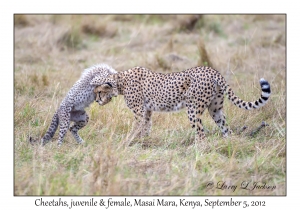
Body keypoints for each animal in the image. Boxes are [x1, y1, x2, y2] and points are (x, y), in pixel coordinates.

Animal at [90, 66, 270, 144]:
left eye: (98, 92)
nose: (97, 101)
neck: (120, 81)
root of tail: (211, 70)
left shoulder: (139, 112)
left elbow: (136, 127)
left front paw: (128, 141)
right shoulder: (147, 111)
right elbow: (146, 127)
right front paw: (143, 142)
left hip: (192, 109)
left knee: (201, 133)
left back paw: (197, 151)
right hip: (215, 108)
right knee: (226, 129)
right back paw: (229, 145)